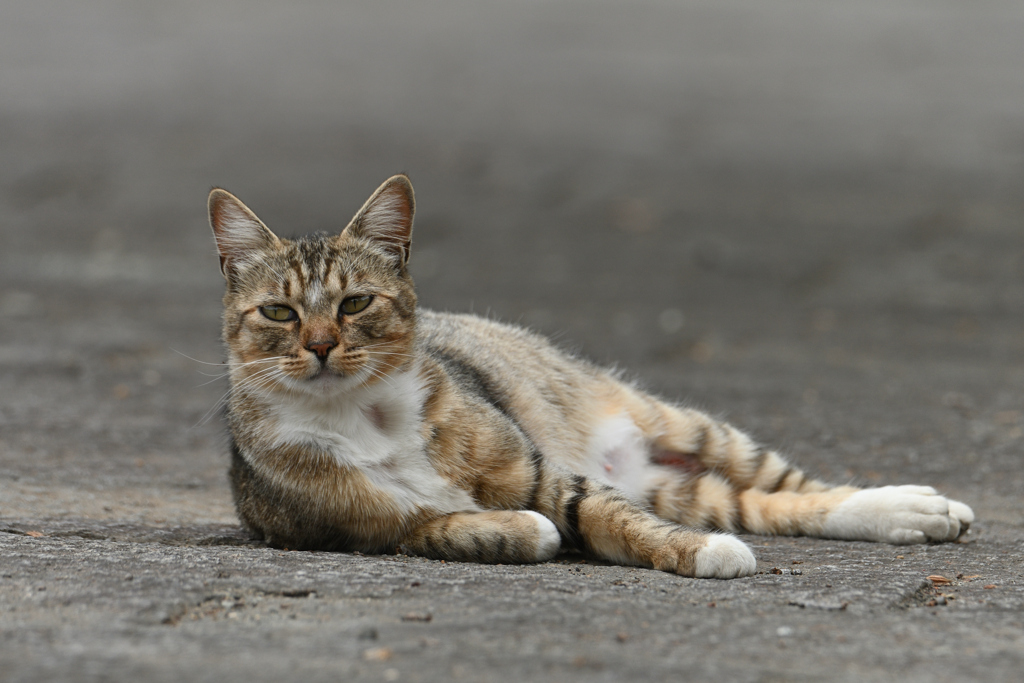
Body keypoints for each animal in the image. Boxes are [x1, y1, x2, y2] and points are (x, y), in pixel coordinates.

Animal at [207, 175, 974, 577]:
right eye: (279, 311)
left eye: (354, 303)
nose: (320, 345)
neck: (368, 417)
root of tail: (635, 458)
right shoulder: (365, 531)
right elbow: (482, 526)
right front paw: (521, 532)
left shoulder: (543, 474)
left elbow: (608, 514)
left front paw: (700, 554)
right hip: (685, 486)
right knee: (762, 505)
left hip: (686, 426)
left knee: (797, 487)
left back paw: (908, 505)